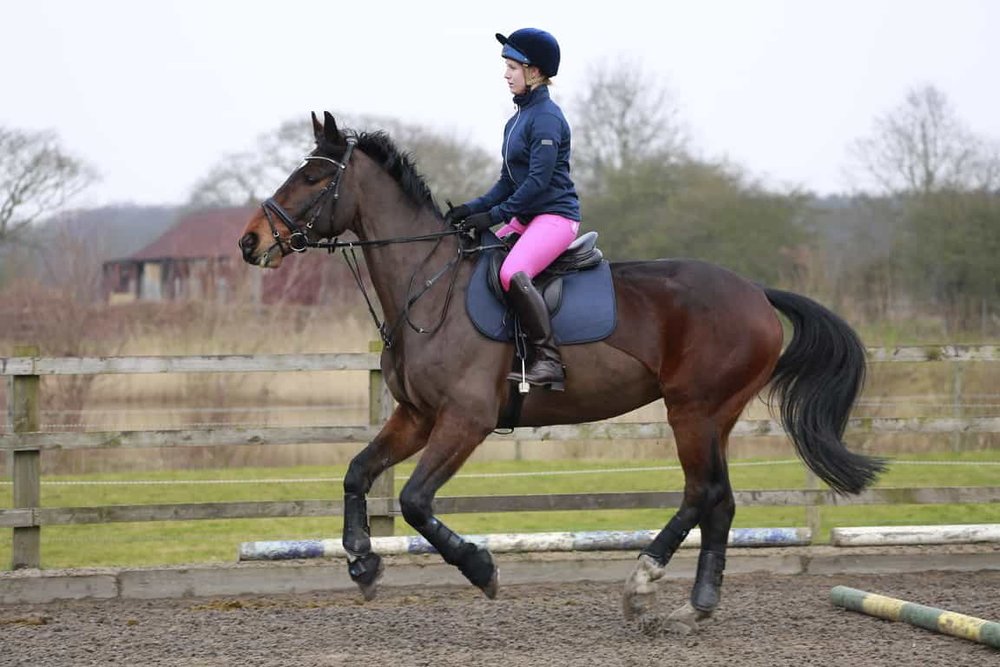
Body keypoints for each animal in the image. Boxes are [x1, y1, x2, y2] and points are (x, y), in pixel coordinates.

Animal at [238, 112, 884, 634]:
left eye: (313, 178)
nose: (250, 242)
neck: (427, 285)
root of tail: (755, 291)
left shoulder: (465, 420)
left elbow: (417, 501)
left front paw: (481, 568)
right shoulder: (416, 416)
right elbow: (356, 474)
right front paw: (363, 564)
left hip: (694, 410)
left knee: (702, 492)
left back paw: (641, 586)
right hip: (713, 416)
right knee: (719, 500)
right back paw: (694, 607)